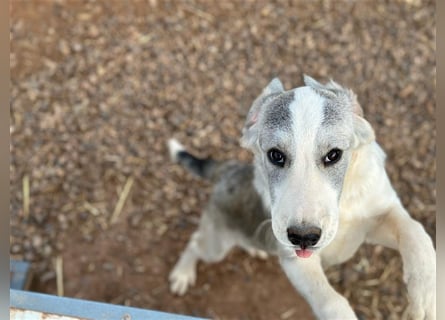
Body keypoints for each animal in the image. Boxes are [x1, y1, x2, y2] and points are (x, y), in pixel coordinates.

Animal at [166, 76, 434, 318]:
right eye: (275, 155)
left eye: (334, 155)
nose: (303, 237)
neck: (343, 206)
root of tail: (228, 169)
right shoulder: (296, 261)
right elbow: (331, 301)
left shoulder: (377, 217)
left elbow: (415, 231)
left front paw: (425, 296)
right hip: (216, 243)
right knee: (195, 243)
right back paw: (182, 274)